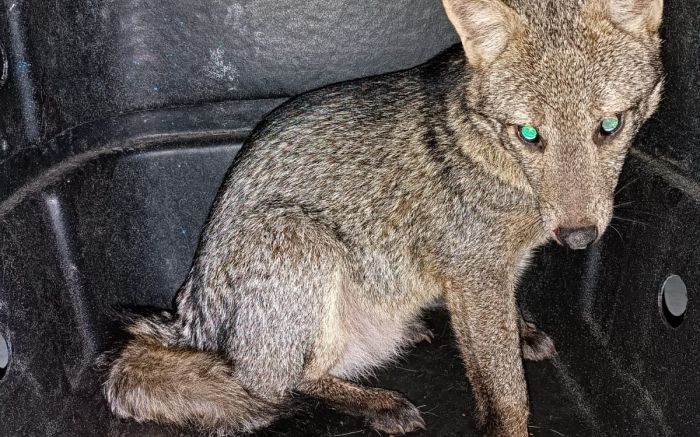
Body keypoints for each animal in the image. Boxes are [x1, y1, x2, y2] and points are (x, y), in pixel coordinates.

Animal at [101, 0, 664, 434]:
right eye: (529, 135)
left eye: (610, 126)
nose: (578, 238)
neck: (497, 159)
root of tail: (189, 323)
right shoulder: (474, 272)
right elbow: (504, 388)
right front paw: (509, 423)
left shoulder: (490, 275)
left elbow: (501, 330)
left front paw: (520, 333)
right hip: (302, 242)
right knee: (272, 383)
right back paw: (377, 403)